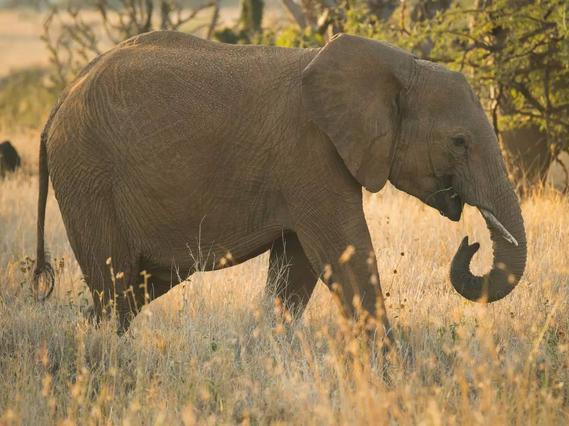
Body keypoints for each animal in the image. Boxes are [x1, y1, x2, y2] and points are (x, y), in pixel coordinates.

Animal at [33, 31, 524, 336]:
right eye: (459, 143)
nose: (470, 243)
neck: (399, 66)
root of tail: (58, 103)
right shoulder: (311, 153)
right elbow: (343, 254)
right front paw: (392, 375)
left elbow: (297, 270)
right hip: (88, 177)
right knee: (115, 287)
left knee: (133, 289)